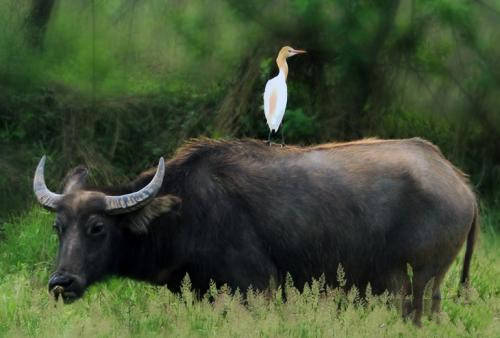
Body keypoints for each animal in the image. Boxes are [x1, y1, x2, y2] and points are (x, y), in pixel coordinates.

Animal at [33, 137, 478, 324]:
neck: (188, 211)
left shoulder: (256, 289)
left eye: (97, 228)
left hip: (419, 284)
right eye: (58, 227)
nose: (61, 283)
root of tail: (460, 183)